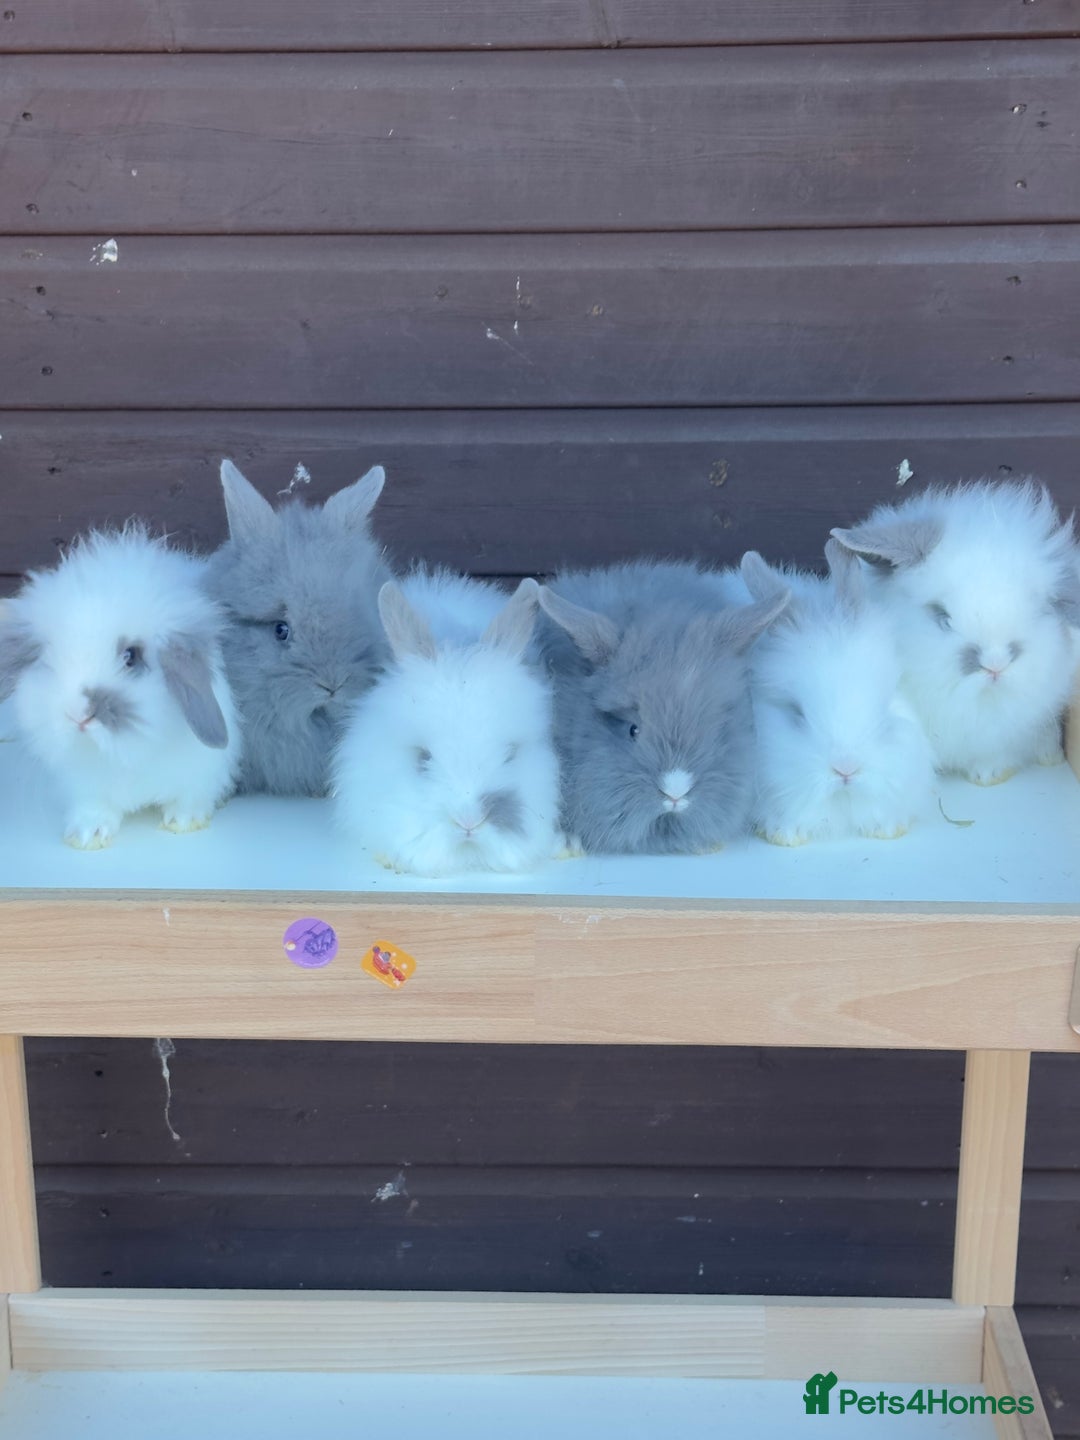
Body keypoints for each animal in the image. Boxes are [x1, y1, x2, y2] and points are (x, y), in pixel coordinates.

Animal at [0, 525, 239, 849]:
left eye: (131, 656)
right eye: (49, 660)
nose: (78, 715)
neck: (128, 751)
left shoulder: (202, 771)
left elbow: (191, 796)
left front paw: (183, 821)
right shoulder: (86, 784)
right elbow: (95, 807)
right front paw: (87, 835)